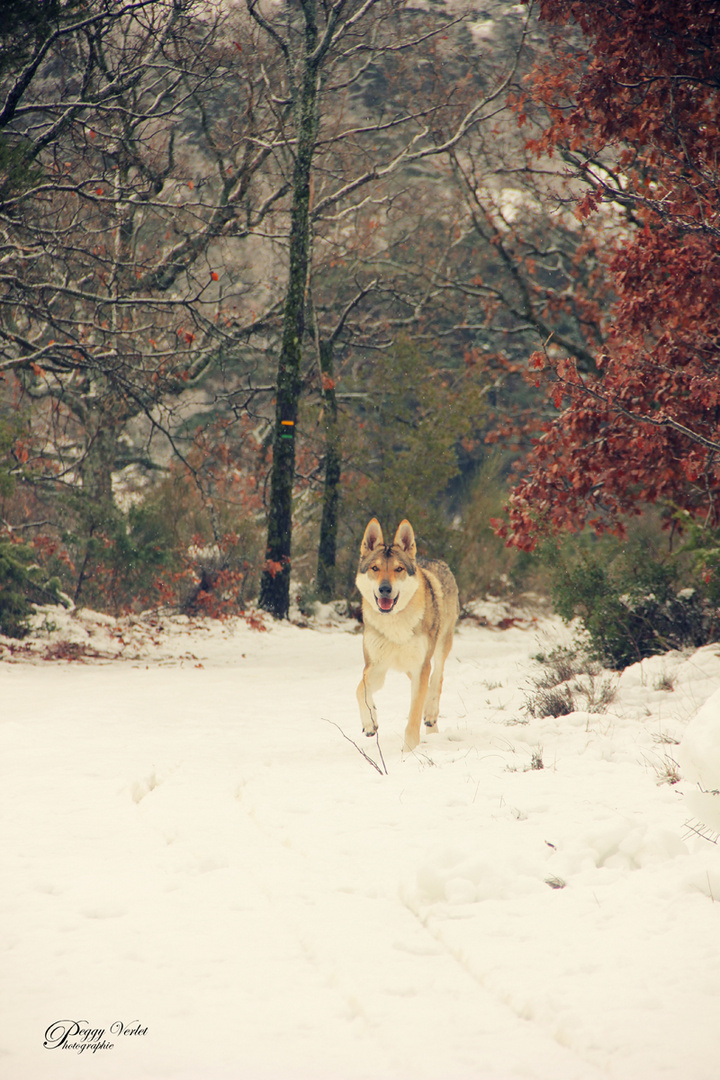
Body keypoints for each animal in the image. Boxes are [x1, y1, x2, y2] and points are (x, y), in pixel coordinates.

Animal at [356, 520, 462, 751]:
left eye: (399, 569)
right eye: (375, 568)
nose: (385, 589)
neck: (394, 624)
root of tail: (435, 560)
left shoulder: (421, 665)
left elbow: (413, 717)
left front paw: (409, 753)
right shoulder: (376, 667)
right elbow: (360, 690)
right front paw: (370, 723)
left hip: (441, 646)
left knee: (437, 678)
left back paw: (430, 716)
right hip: (409, 667)